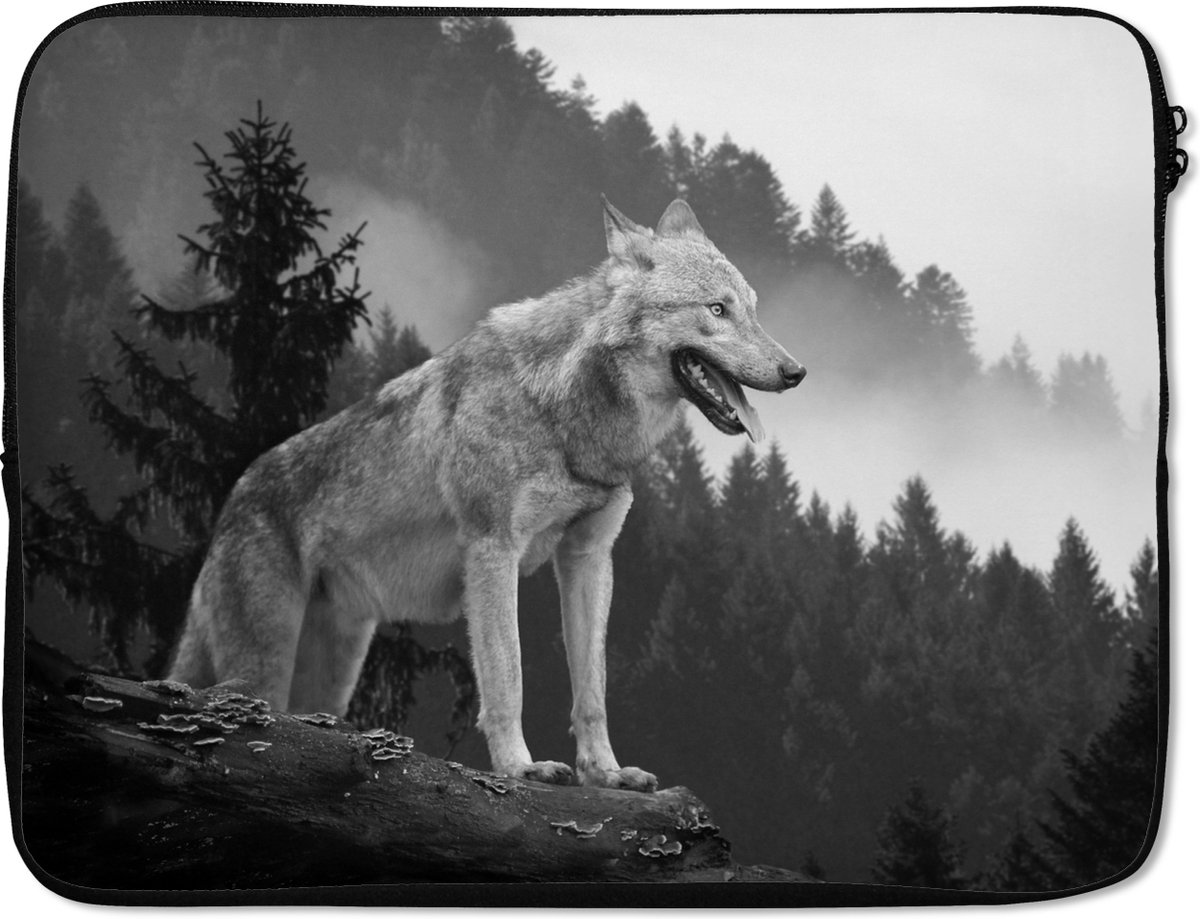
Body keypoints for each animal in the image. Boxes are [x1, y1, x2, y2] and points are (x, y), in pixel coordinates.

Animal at [168, 197, 804, 791]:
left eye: (752, 308)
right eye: (716, 309)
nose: (796, 372)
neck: (564, 411)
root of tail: (231, 501)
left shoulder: (590, 558)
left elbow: (592, 690)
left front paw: (606, 773)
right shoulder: (493, 550)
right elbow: (508, 676)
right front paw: (520, 767)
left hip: (331, 678)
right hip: (265, 668)